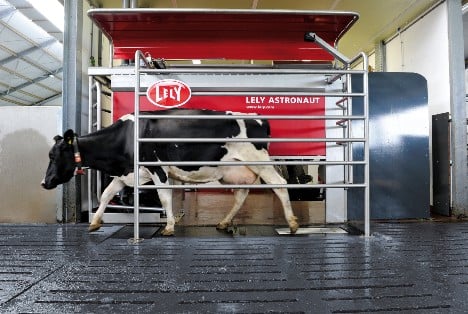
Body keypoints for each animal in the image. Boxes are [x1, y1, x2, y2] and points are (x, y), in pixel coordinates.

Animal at [44, 108, 300, 236]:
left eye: (53, 155)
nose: (44, 183)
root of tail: (259, 119)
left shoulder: (158, 168)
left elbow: (165, 197)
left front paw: (168, 226)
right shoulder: (128, 173)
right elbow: (107, 194)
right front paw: (95, 222)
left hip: (259, 160)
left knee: (280, 185)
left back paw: (292, 224)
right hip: (235, 170)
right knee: (240, 195)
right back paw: (224, 222)